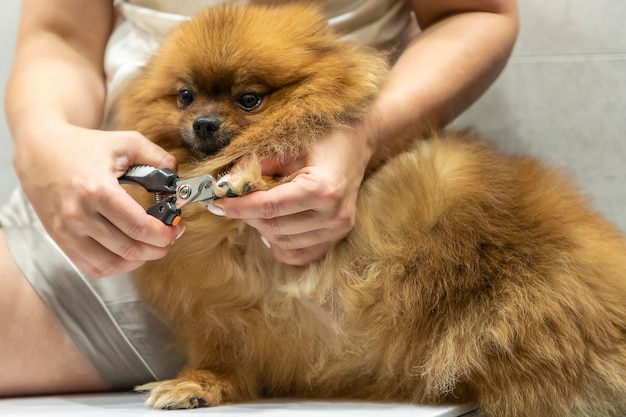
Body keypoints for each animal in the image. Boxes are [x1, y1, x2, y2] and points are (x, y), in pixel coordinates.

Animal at [114, 4, 624, 416]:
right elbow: (221, 360)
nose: (203, 122)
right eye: (185, 96)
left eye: (249, 99)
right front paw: (197, 383)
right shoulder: (221, 316)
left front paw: (247, 180)